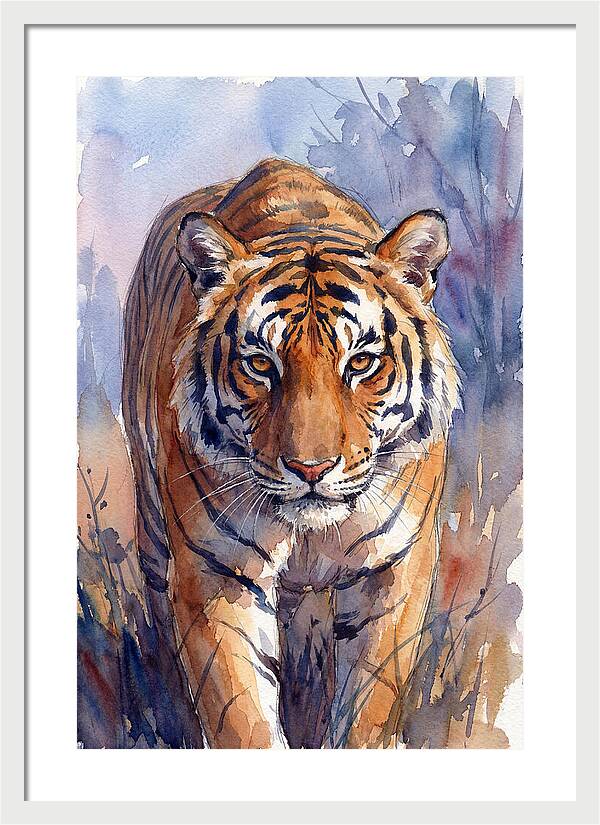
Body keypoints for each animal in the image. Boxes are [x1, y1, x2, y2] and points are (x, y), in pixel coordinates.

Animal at [122, 158, 460, 749]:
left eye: (361, 362)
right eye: (261, 364)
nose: (311, 468)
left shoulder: (395, 569)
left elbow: (369, 705)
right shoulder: (217, 571)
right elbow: (241, 717)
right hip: (153, 525)